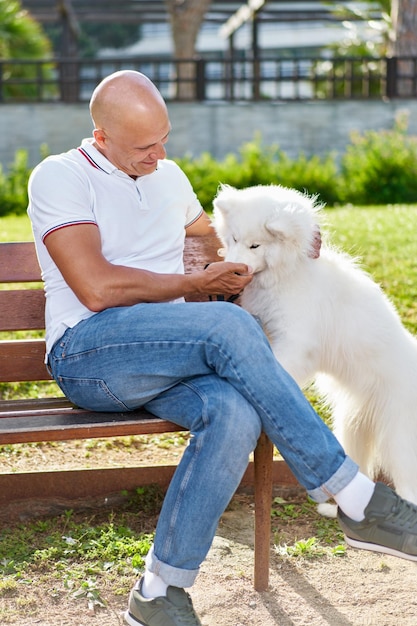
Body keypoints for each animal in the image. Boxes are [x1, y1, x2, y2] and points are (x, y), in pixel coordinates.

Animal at [213, 183, 416, 504]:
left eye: (255, 246)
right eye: (233, 239)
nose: (234, 268)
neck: (287, 274)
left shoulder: (295, 342)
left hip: (399, 440)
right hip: (352, 426)